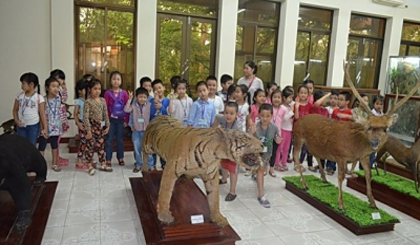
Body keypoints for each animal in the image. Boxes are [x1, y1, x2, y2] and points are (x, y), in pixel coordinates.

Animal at [292, 60, 420, 209]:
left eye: (385, 129)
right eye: (368, 127)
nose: (375, 142)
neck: (356, 146)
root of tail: (300, 118)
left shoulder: (364, 157)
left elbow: (368, 175)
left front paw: (373, 203)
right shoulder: (340, 155)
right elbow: (341, 177)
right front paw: (341, 204)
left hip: (314, 144)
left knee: (316, 154)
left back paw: (324, 179)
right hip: (298, 136)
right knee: (296, 156)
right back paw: (305, 184)